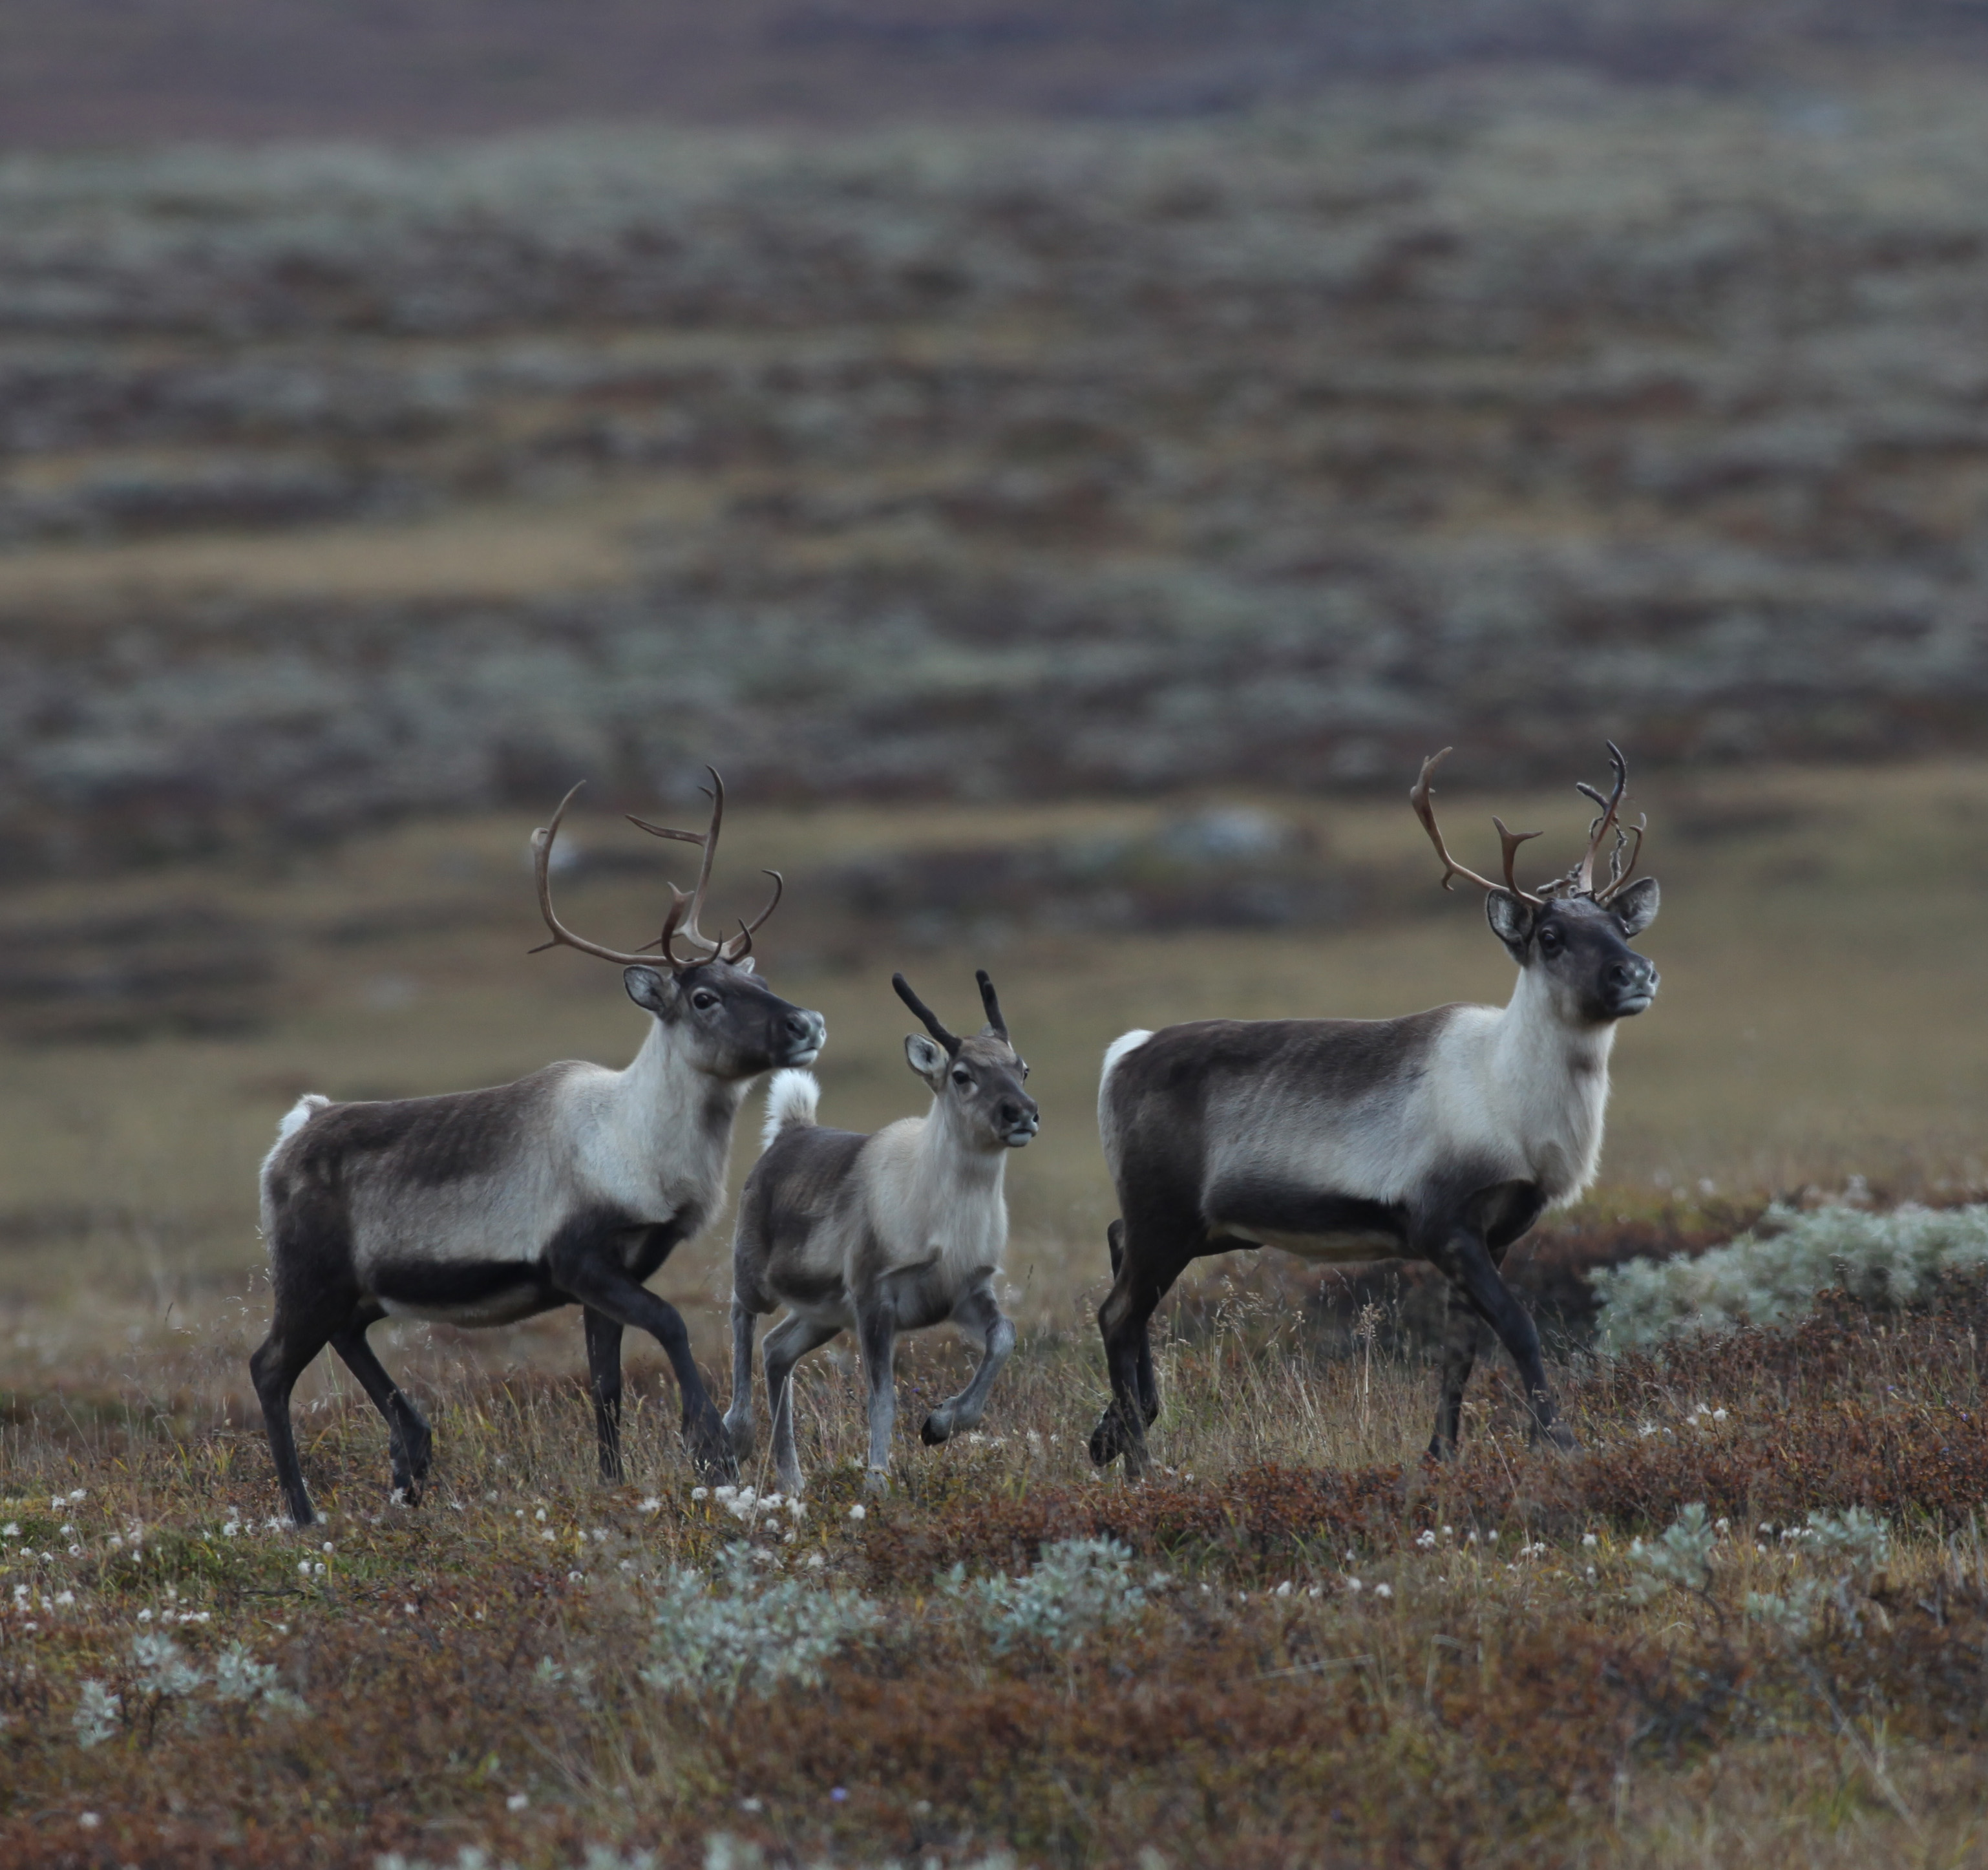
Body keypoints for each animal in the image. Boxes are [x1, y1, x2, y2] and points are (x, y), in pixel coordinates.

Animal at [731, 970, 1041, 1494]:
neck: (947, 1221)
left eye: (1021, 1068)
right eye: (962, 1074)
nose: (1022, 1113)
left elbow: (1004, 1336)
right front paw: (877, 1482)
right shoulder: (874, 1295)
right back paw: (737, 1429)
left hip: (825, 1312)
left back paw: (793, 1481)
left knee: (776, 1350)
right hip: (757, 1272)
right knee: (742, 1314)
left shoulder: (965, 1290)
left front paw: (941, 1423)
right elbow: (883, 1399)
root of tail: (790, 1130)